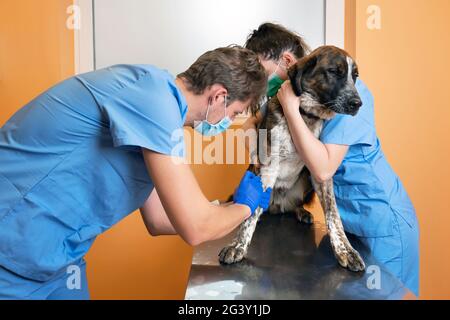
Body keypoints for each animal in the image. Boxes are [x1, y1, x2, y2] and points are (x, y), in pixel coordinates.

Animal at [220, 45, 368, 272]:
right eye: (334, 72)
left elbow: (333, 215)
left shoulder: (321, 173)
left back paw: (301, 212)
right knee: (254, 207)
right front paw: (238, 245)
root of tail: (277, 205)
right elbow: (250, 214)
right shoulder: (267, 166)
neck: (303, 114)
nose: (357, 104)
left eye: (355, 76)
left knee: (292, 206)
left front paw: (345, 250)